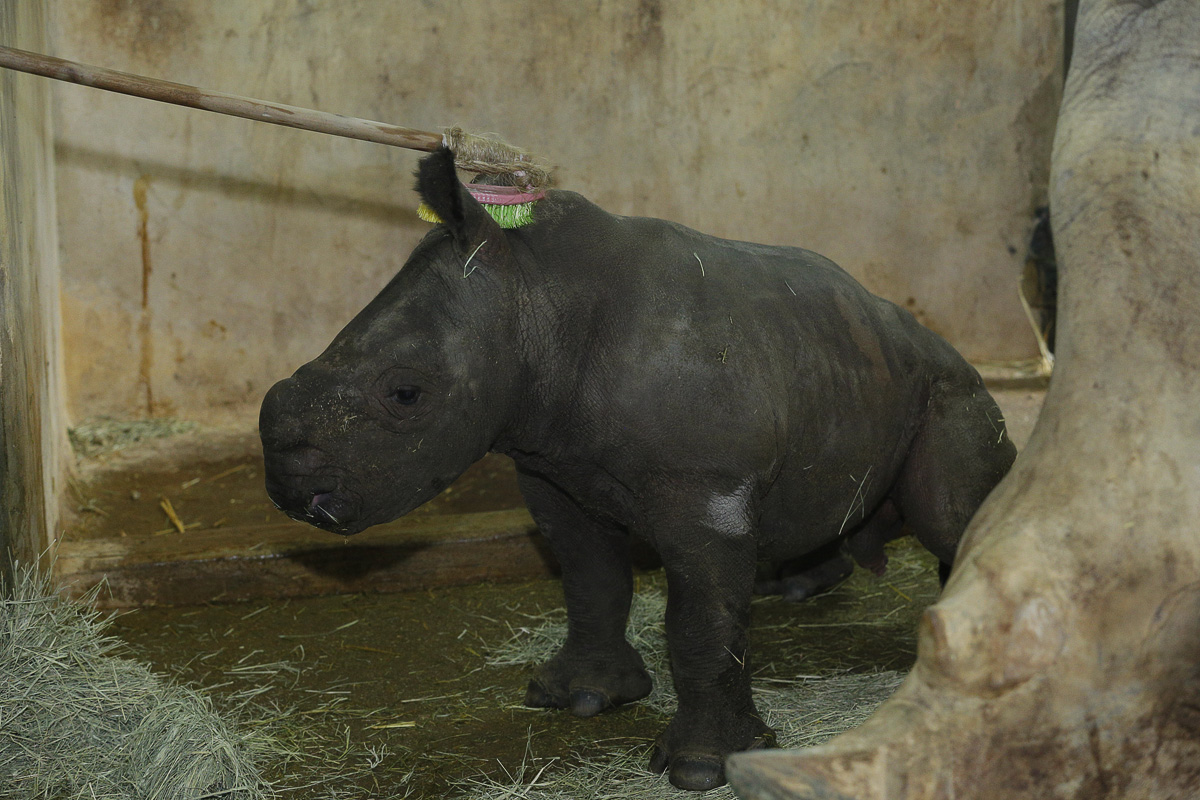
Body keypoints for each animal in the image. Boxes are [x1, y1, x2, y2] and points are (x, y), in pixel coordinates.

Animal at [259, 147, 1015, 790]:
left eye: (406, 395)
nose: (290, 490)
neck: (536, 298)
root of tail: (940, 344)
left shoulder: (707, 489)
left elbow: (699, 620)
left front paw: (700, 769)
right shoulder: (553, 469)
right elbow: (589, 577)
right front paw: (580, 698)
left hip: (949, 390)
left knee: (952, 517)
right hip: (850, 366)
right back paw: (794, 586)